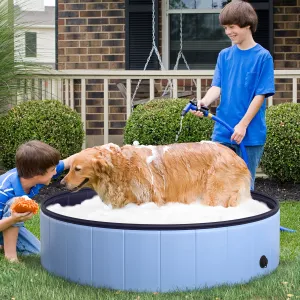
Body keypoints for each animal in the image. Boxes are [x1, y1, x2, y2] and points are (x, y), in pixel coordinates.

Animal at [61, 142, 251, 209]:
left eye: (77, 169)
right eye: (69, 168)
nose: (61, 183)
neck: (121, 167)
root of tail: (238, 158)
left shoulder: (151, 199)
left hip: (215, 194)